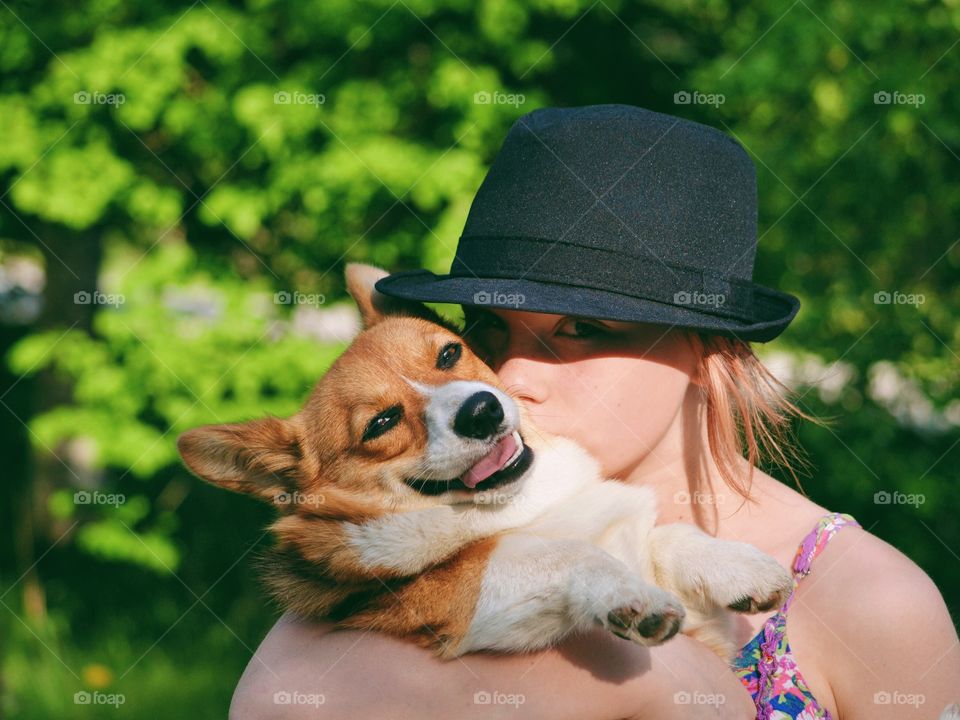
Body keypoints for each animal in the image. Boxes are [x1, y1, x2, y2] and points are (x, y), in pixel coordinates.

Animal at [176, 262, 792, 660]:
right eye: (380, 424)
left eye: (450, 353)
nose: (481, 410)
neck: (527, 506)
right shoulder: (461, 601)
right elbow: (565, 554)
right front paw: (628, 595)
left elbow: (668, 534)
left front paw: (742, 567)